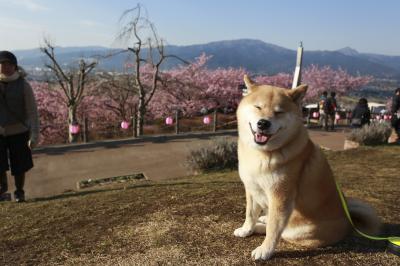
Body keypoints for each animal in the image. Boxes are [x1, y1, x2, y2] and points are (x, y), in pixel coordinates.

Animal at [236, 76, 380, 260]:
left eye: (279, 112)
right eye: (258, 107)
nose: (263, 123)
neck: (262, 154)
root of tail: (349, 224)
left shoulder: (280, 197)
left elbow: (273, 229)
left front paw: (265, 250)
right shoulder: (251, 188)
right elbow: (250, 214)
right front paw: (246, 229)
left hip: (300, 229)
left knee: (282, 232)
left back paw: (262, 226)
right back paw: (261, 221)